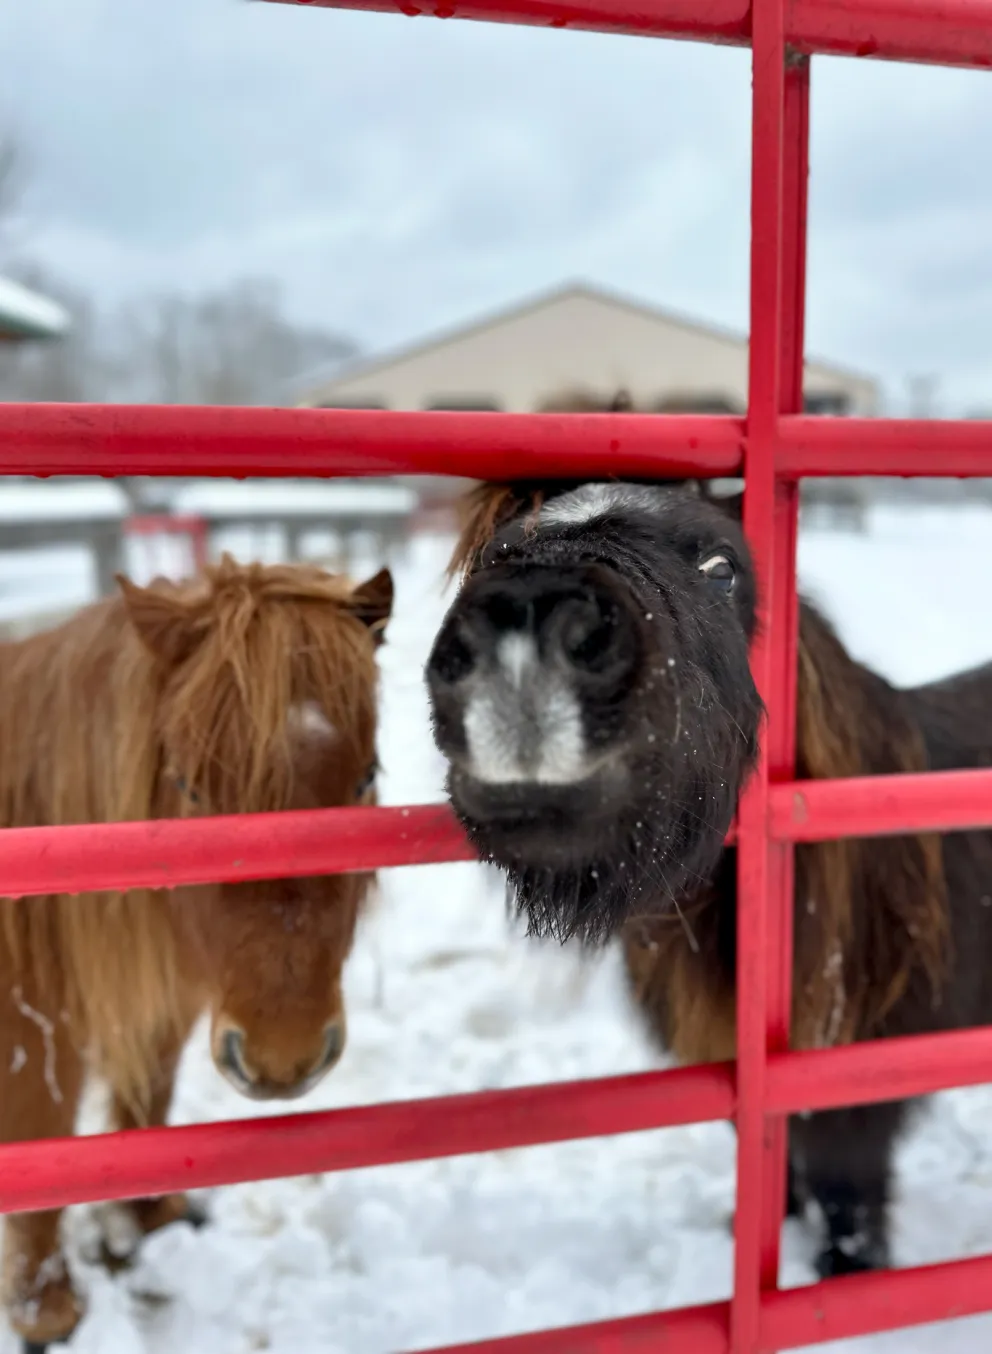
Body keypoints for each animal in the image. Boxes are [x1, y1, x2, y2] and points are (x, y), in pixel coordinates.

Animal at [0, 553, 393, 1350]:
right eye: (189, 786)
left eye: (367, 777)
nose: (284, 1058)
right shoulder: (34, 1034)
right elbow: (39, 1142)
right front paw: (47, 1311)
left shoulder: (167, 1007)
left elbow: (149, 1095)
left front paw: (151, 1218)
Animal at [424, 389, 992, 1281]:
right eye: (498, 552)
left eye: (721, 569)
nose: (531, 621)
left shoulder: (855, 1097)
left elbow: (847, 1203)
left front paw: (840, 1277)